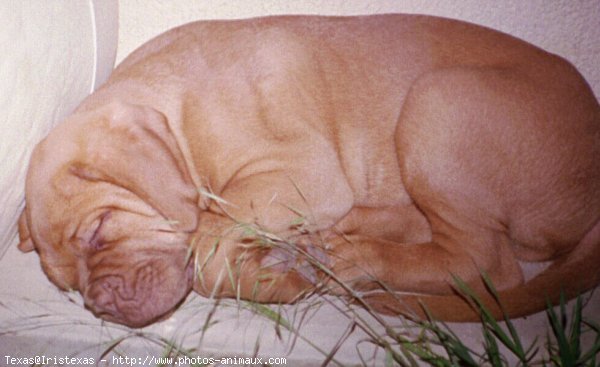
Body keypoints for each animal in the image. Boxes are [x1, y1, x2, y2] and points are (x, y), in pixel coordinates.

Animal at [16, 15, 596, 330]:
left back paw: (351, 257)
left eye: (98, 231)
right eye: (65, 284)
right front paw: (275, 275)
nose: (100, 307)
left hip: (438, 102)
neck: (180, 116)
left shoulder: (303, 171)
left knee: (488, 262)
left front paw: (267, 271)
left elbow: (206, 246)